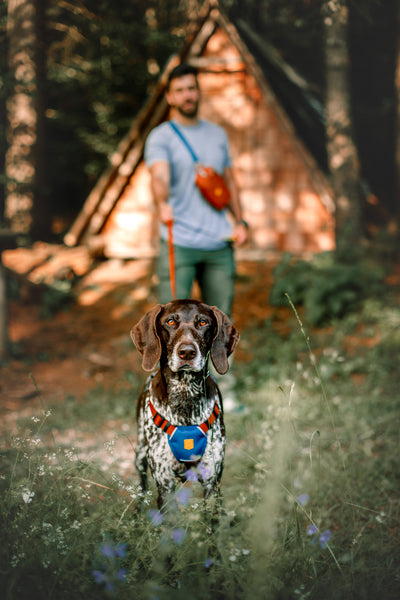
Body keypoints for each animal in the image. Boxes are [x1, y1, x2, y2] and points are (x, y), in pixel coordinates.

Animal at [130, 298, 239, 506]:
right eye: (171, 321)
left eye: (203, 322)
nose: (187, 352)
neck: (185, 394)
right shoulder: (164, 483)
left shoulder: (212, 482)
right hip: (140, 454)